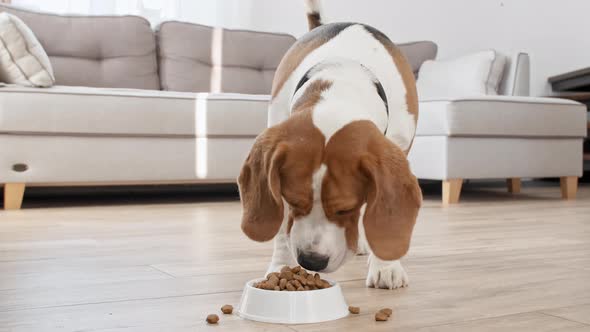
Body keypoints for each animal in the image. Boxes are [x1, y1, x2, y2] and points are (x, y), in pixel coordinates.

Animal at [238, 0, 424, 290]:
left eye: (345, 208)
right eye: (292, 200)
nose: (311, 261)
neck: (343, 80)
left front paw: (386, 266)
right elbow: (281, 227)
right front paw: (280, 268)